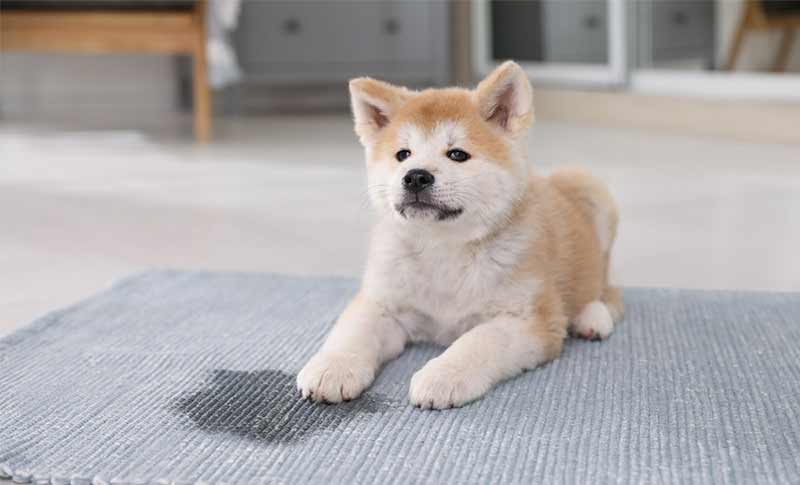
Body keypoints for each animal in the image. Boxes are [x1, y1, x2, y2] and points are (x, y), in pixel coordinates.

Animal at [296, 60, 620, 408]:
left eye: (457, 154)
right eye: (403, 155)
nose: (416, 177)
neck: (444, 250)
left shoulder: (529, 319)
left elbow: (478, 341)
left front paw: (443, 375)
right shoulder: (383, 303)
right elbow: (353, 332)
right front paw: (333, 367)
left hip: (589, 187)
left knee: (606, 287)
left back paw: (592, 318)